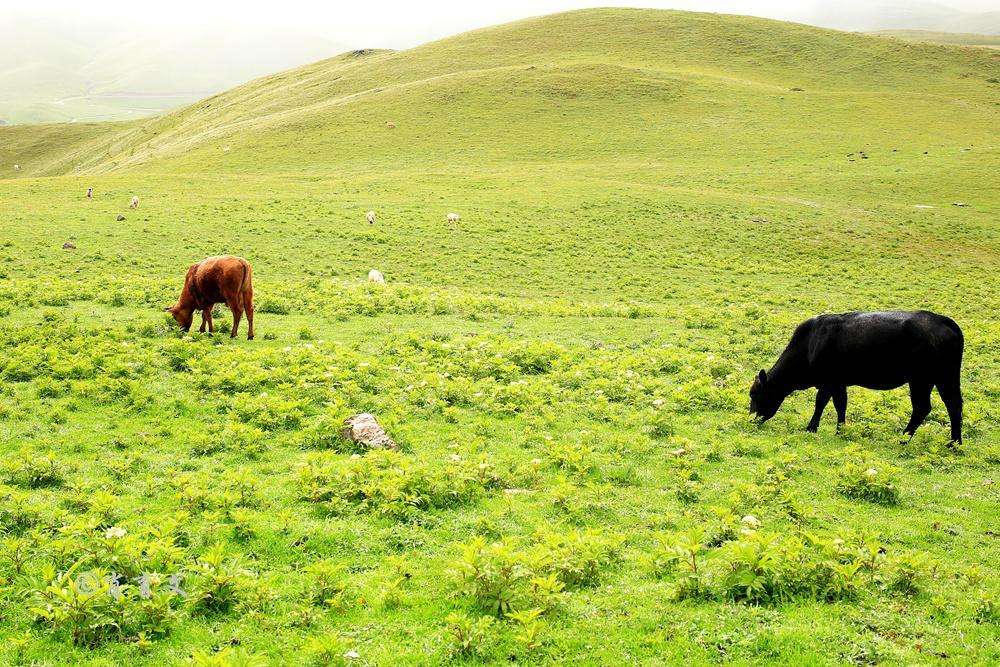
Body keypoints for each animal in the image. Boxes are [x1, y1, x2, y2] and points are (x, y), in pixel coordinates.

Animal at [752, 312, 960, 444]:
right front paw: (840, 430)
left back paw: (903, 438)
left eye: (753, 394)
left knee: (922, 407)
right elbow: (840, 404)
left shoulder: (828, 380)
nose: (751, 418)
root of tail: (943, 321)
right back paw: (954, 442)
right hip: (944, 377)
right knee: (954, 404)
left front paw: (811, 428)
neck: (811, 342)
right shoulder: (839, 382)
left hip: (920, 380)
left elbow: (821, 402)